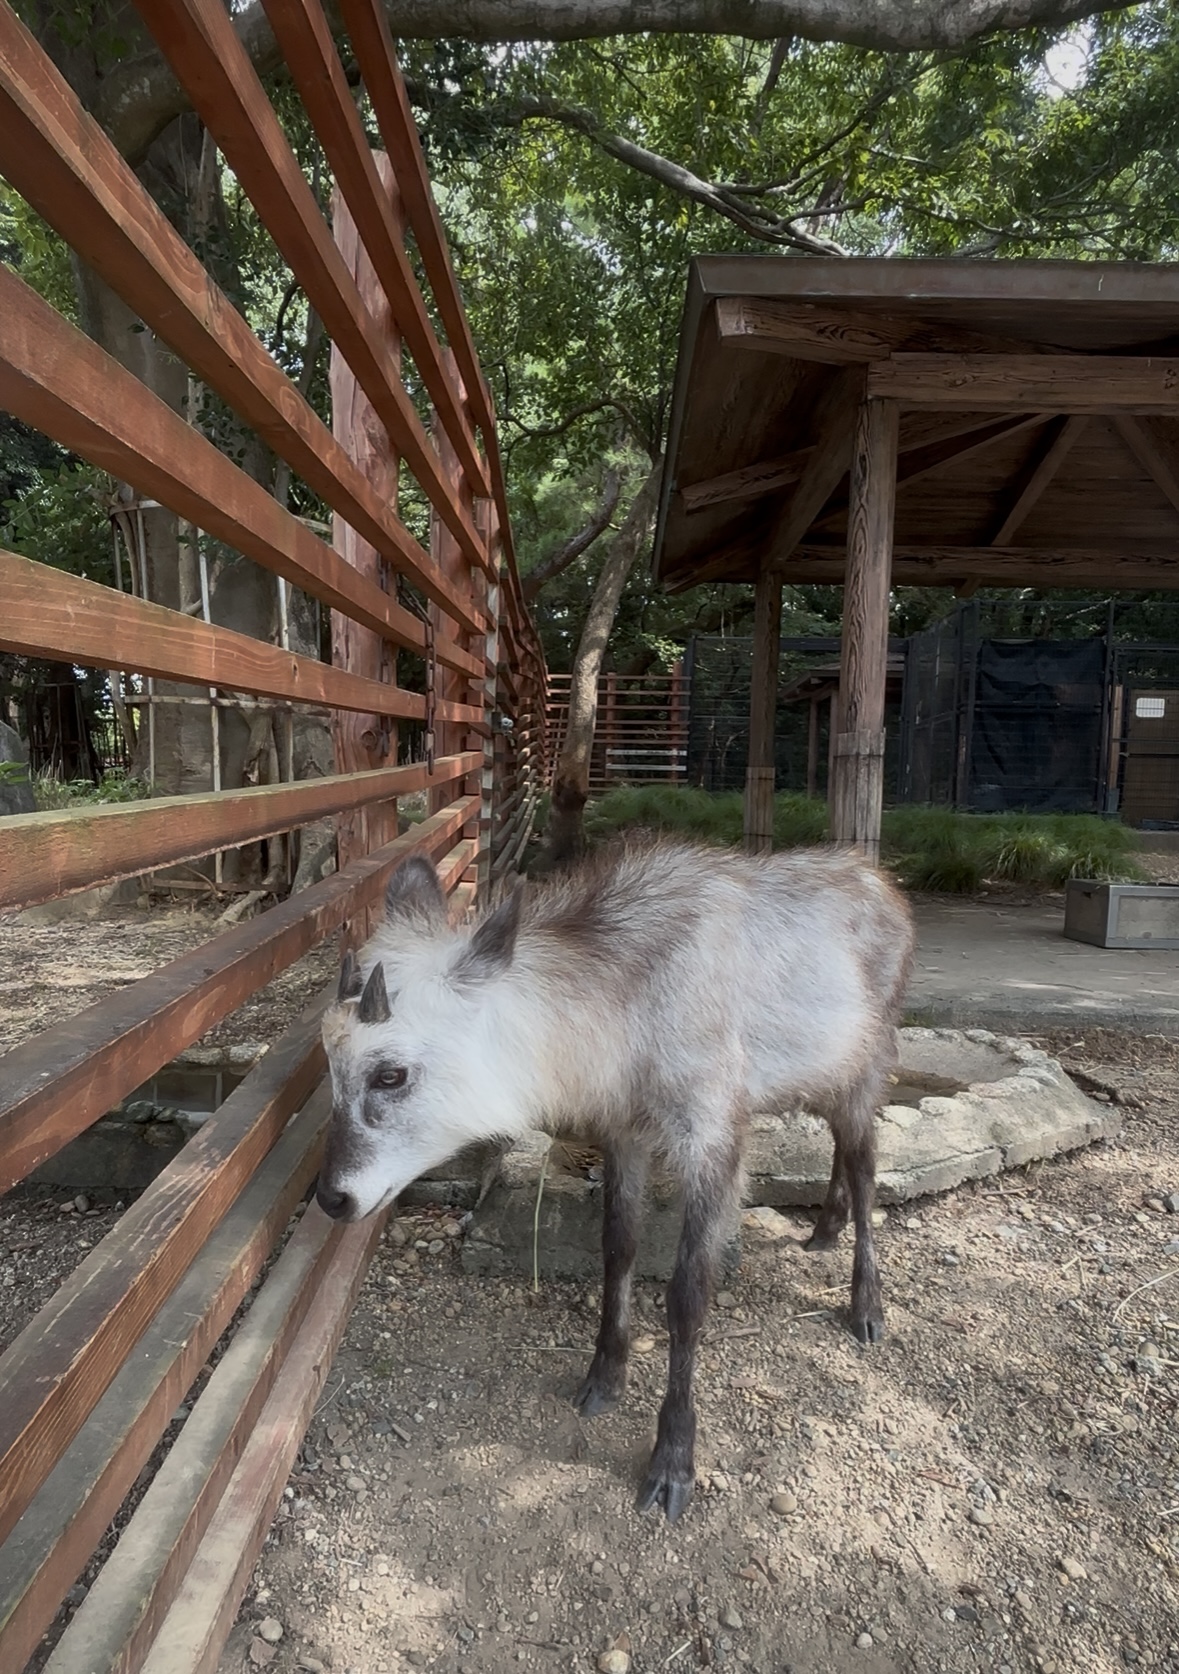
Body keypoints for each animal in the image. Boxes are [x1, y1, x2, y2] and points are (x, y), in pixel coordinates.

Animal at [316, 837, 915, 1521]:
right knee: (841, 1149)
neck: (630, 1005)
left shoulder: (711, 1138)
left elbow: (687, 1294)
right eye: (330, 1067)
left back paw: (866, 1304)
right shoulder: (624, 1132)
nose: (332, 1197)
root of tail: (884, 882)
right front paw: (605, 1375)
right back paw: (825, 1227)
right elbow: (617, 1248)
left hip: (868, 1068)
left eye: (390, 1074)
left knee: (866, 1169)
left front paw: (673, 1458)